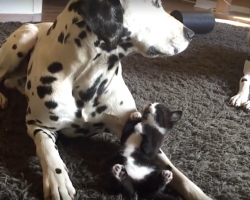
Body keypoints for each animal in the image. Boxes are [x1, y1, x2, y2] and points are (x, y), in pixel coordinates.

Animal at [0, 0, 212, 200]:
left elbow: (176, 172)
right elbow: (46, 150)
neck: (87, 78)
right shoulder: (38, 125)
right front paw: (57, 179)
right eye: (154, 4)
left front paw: (199, 192)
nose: (191, 33)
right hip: (24, 38)